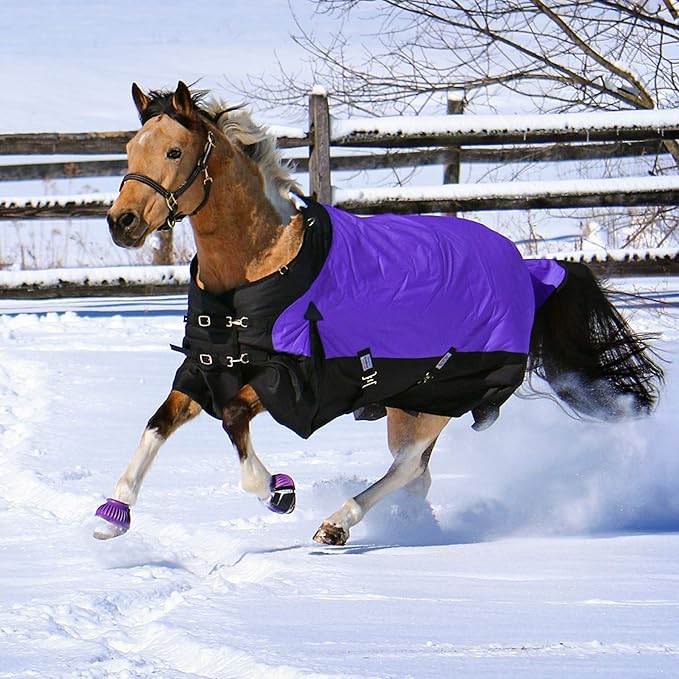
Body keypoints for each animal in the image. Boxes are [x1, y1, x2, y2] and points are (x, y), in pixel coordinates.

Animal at [94, 81, 664, 546]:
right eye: (130, 148)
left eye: (174, 150)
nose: (122, 223)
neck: (256, 273)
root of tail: (527, 270)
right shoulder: (205, 369)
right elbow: (157, 424)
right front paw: (112, 515)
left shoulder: (297, 381)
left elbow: (233, 418)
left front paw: (280, 491)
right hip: (405, 402)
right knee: (416, 473)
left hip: (439, 395)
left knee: (409, 467)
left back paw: (337, 522)